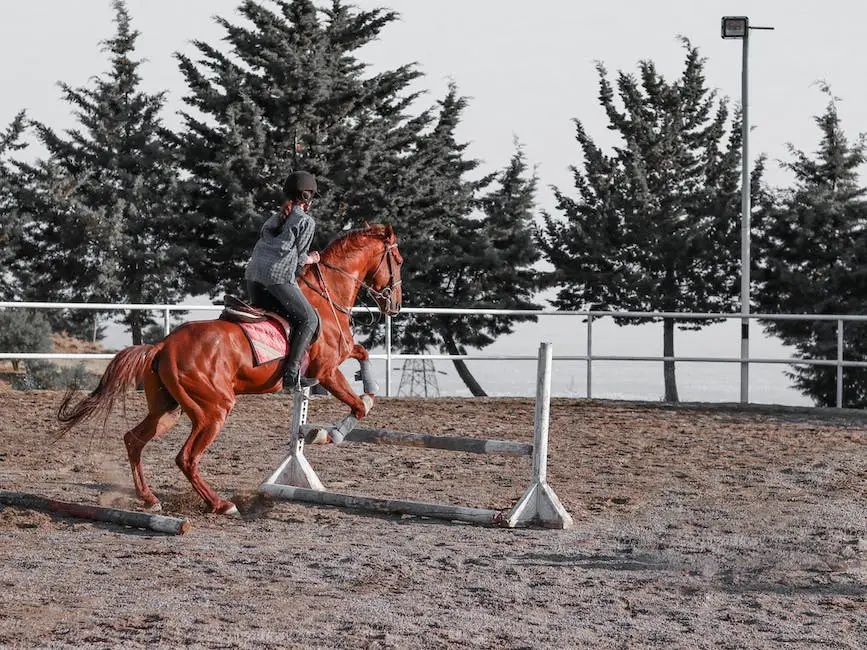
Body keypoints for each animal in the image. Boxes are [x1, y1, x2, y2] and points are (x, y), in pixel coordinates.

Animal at [56, 223, 402, 512]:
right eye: (397, 260)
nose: (396, 305)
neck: (326, 295)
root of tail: (163, 346)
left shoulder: (339, 359)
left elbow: (363, 357)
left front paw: (369, 388)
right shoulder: (327, 371)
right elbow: (358, 407)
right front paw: (329, 434)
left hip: (167, 410)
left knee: (134, 440)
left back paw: (151, 498)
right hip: (214, 410)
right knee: (186, 458)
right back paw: (220, 504)